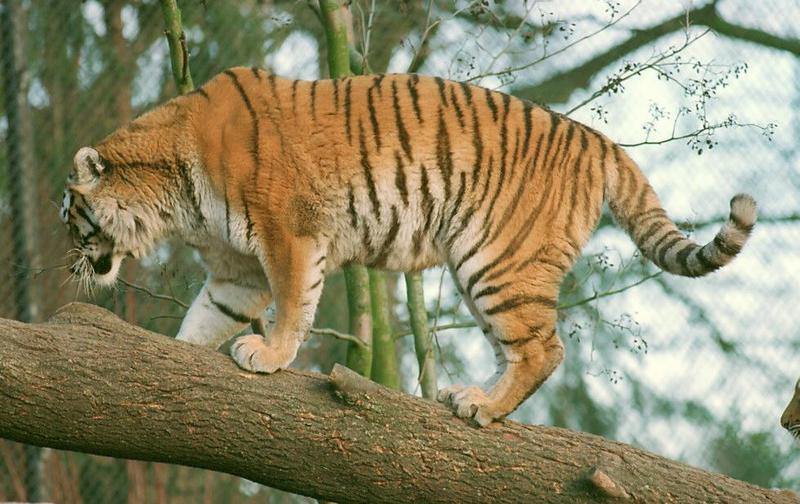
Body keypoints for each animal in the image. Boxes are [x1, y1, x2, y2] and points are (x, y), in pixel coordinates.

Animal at [62, 67, 756, 428]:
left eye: (72, 220)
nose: (74, 263)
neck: (175, 196)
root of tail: (597, 140)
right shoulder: (238, 269)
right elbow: (205, 318)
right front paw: (175, 360)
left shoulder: (289, 236)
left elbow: (292, 305)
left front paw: (271, 355)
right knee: (520, 348)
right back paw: (469, 396)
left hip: (496, 260)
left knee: (543, 350)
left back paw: (482, 407)